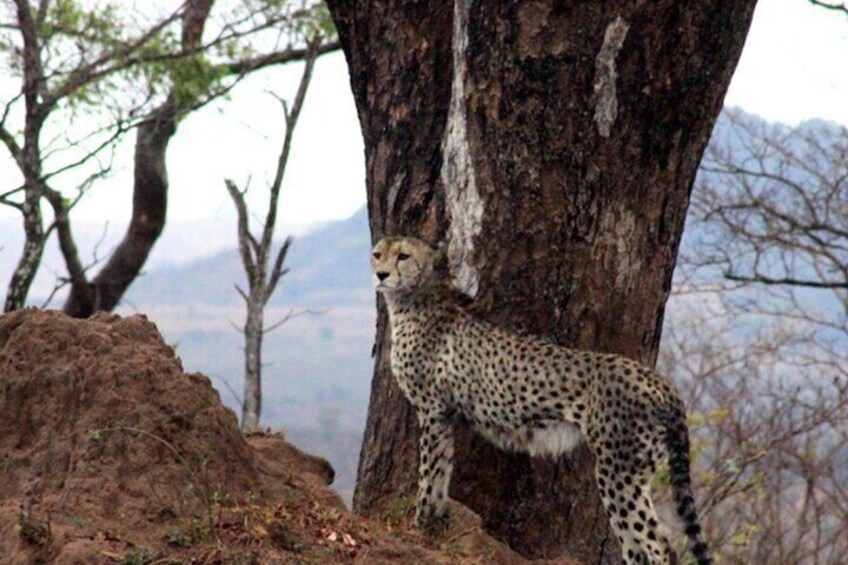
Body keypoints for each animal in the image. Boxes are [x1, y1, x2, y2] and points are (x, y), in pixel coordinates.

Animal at [374, 236, 712, 564]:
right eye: (377, 254)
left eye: (403, 256)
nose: (381, 275)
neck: (413, 297)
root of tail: (660, 381)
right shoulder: (443, 415)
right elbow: (442, 472)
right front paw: (435, 524)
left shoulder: (431, 411)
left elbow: (427, 475)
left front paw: (417, 527)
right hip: (628, 471)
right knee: (636, 546)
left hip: (619, 471)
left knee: (659, 547)